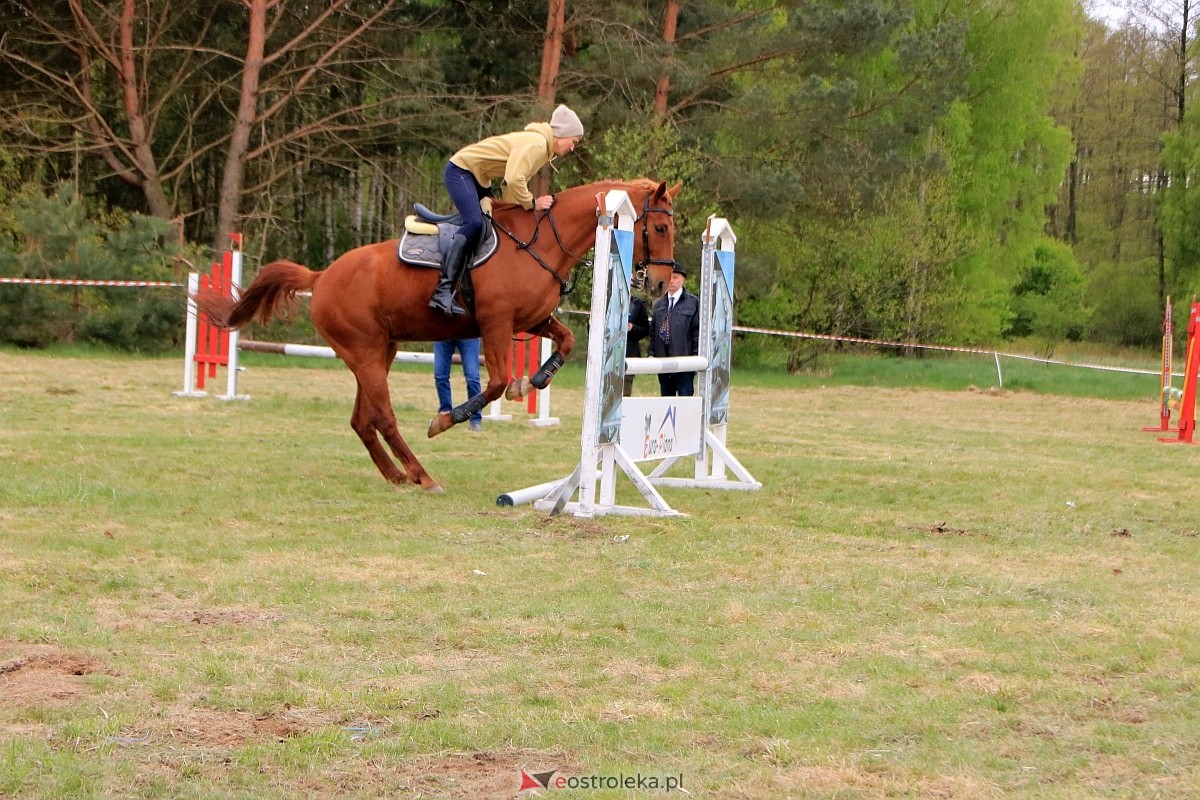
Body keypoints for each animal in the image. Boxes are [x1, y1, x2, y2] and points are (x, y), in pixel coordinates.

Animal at [201, 178, 681, 491]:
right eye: (660, 228)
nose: (660, 284)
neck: (540, 243)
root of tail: (320, 278)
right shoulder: (496, 323)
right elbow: (495, 382)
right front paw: (448, 418)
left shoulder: (530, 320)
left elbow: (564, 342)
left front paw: (534, 381)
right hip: (366, 353)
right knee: (383, 417)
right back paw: (422, 473)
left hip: (378, 352)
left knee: (362, 420)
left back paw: (398, 475)